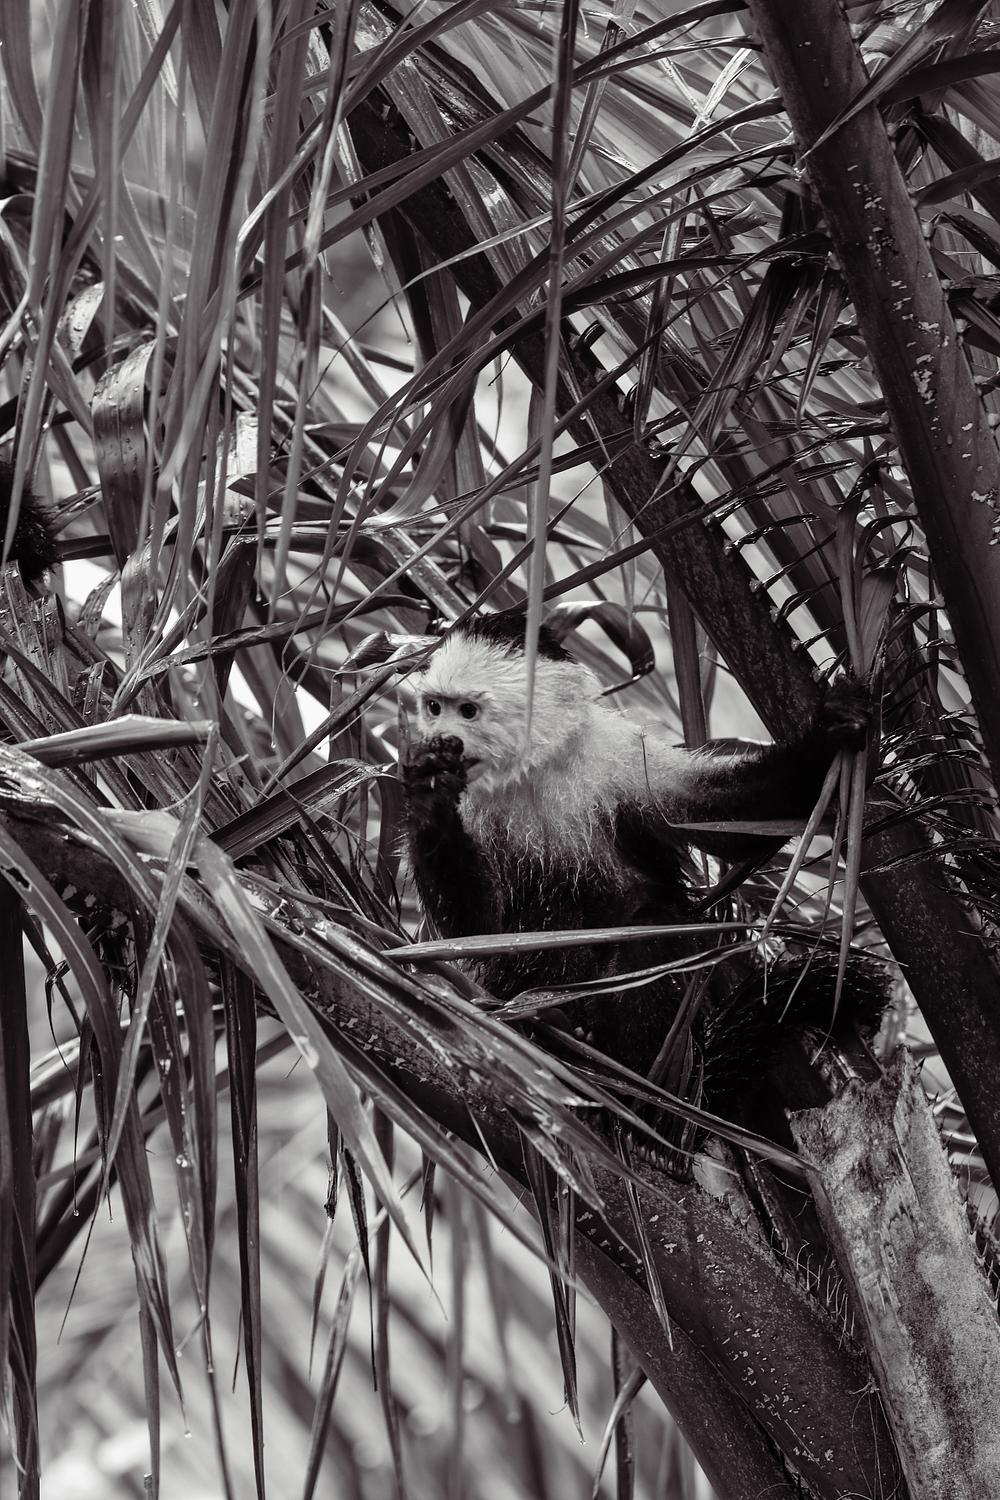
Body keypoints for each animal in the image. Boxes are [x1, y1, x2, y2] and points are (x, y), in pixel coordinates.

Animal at [402, 613, 884, 1121]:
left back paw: (634, 1076)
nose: (440, 737)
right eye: (433, 707)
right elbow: (475, 932)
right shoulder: (474, 803)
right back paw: (560, 1031)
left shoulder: (619, 755)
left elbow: (721, 818)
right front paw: (428, 799)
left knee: (654, 925)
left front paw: (829, 733)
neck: (534, 769)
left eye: (467, 711)